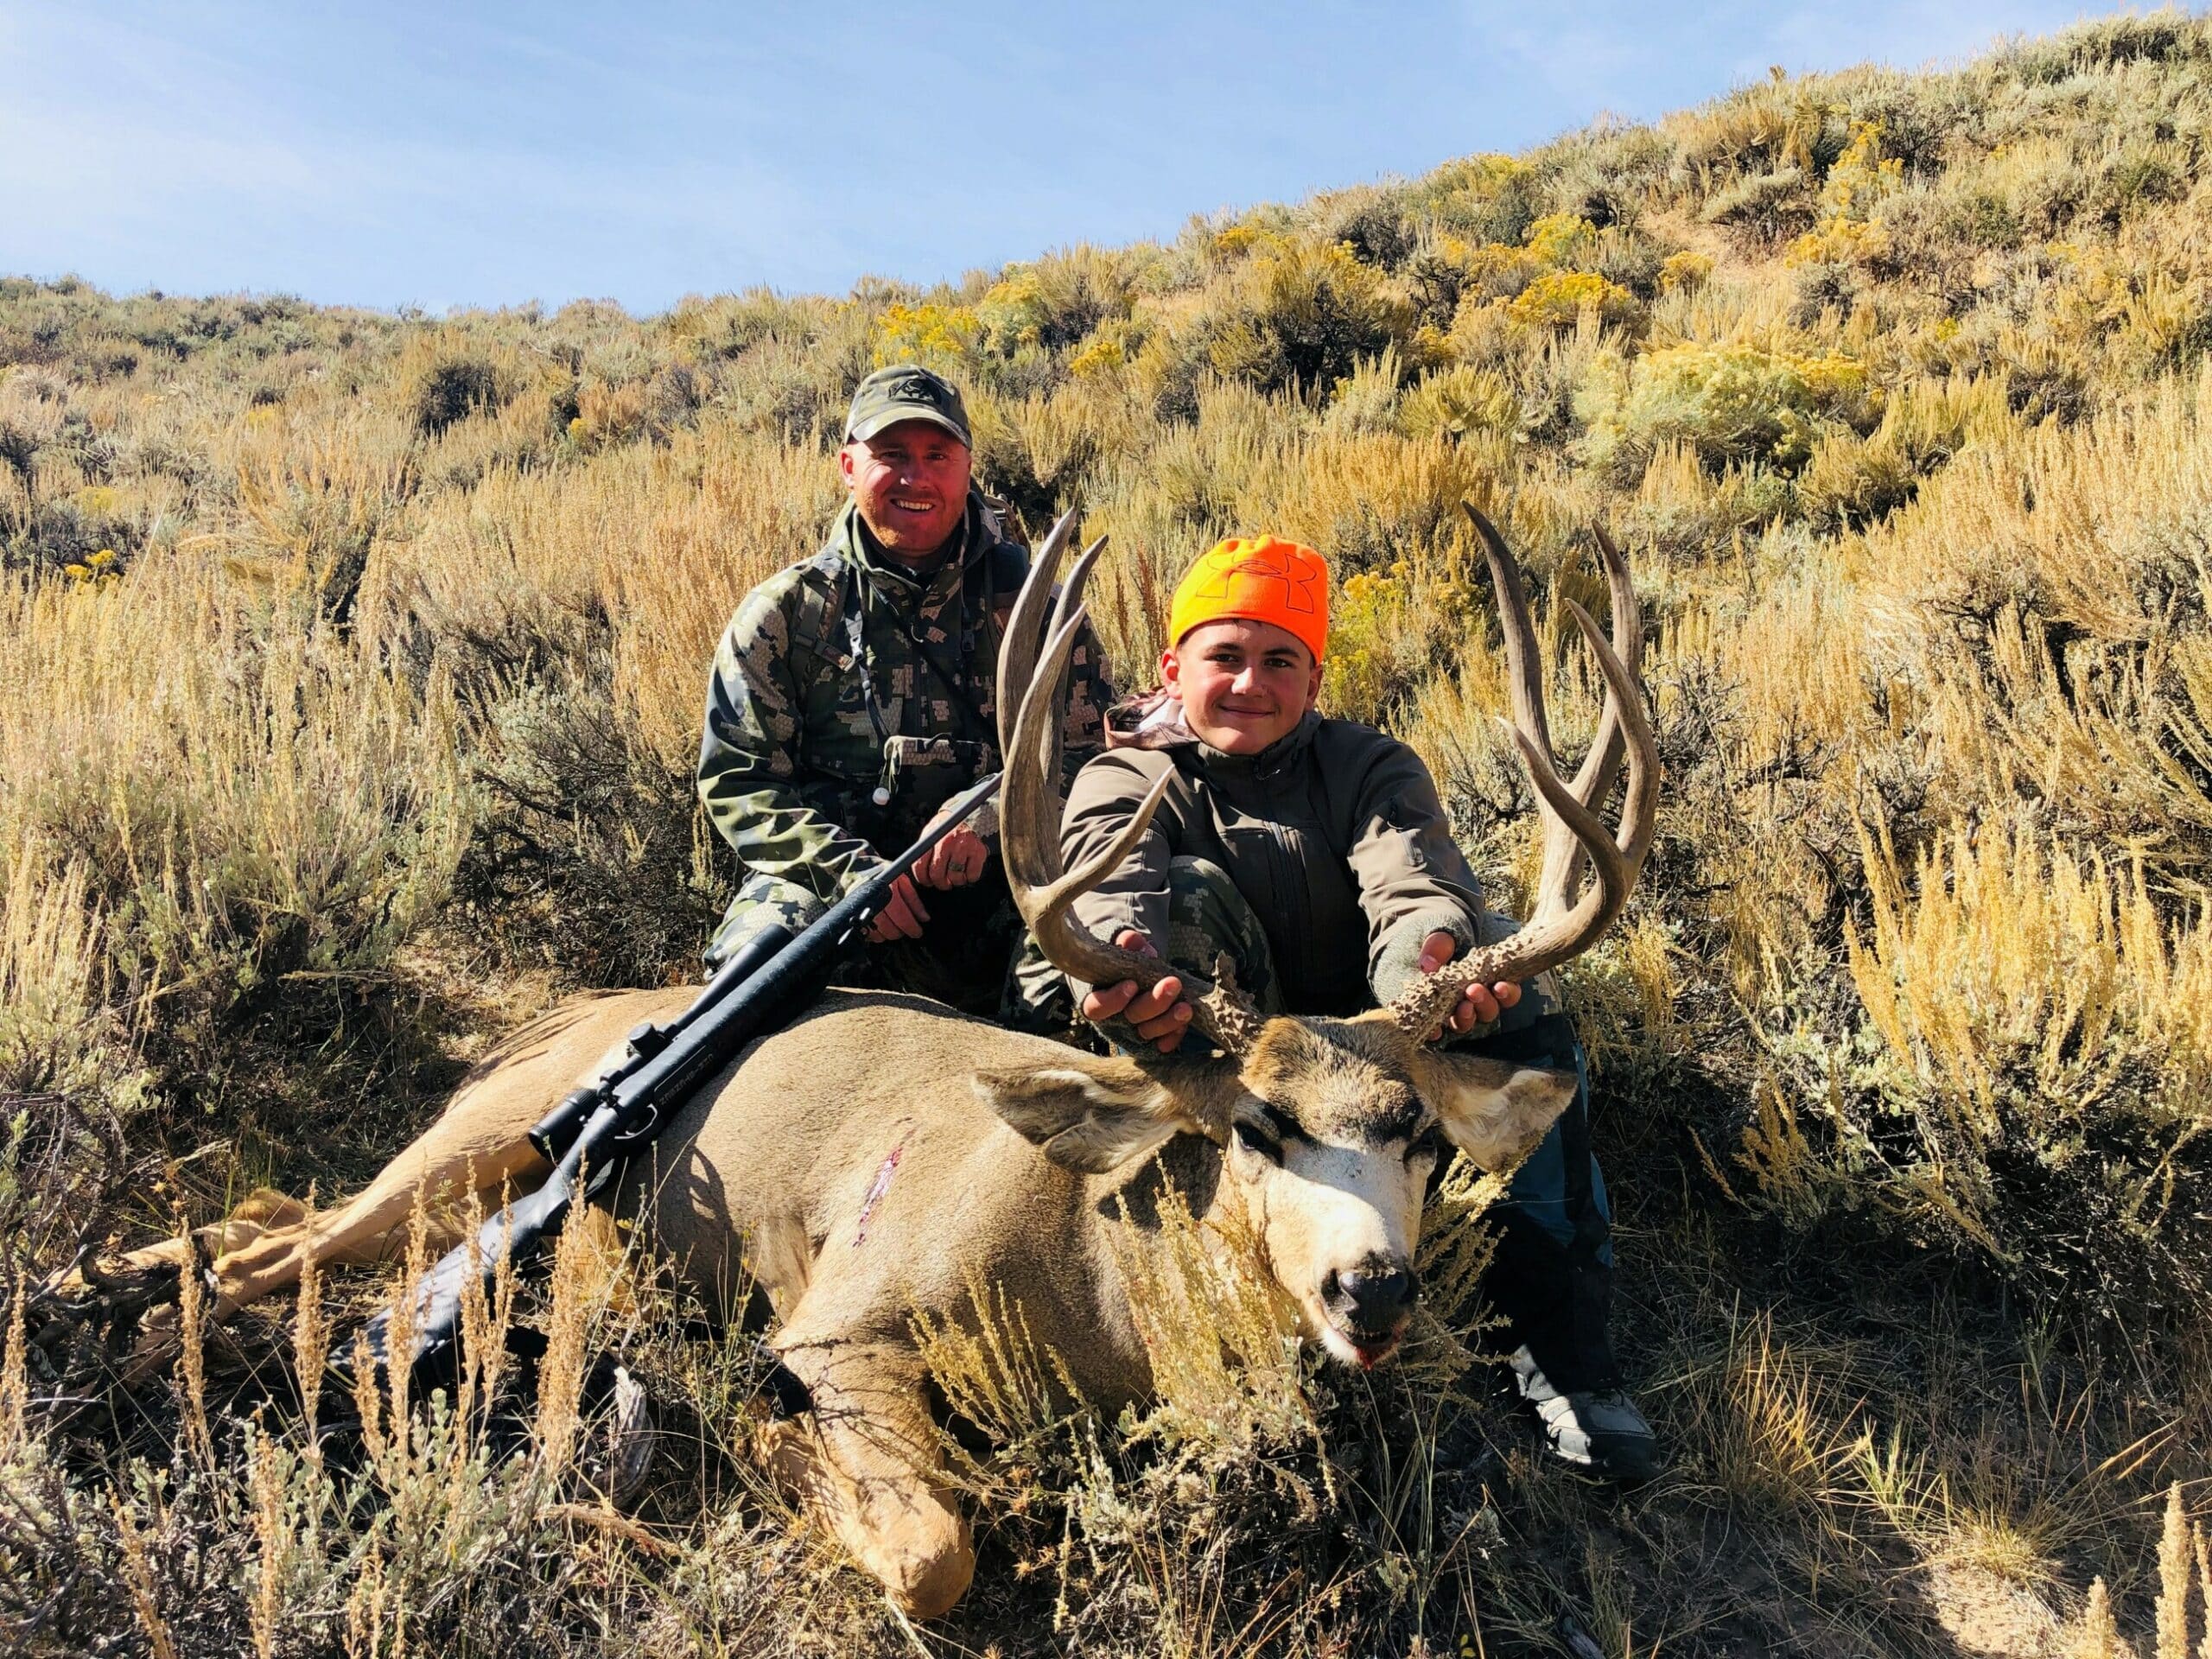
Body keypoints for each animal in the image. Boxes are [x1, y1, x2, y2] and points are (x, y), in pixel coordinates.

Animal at [50, 507, 1657, 1618]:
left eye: (1420, 1136)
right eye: (1255, 1128)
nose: (1370, 1291)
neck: (1094, 1276)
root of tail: (565, 1016)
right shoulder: (838, 1319)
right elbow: (937, 1545)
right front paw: (765, 1455)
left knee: (267, 1226)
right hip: (477, 1141)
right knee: (288, 1248)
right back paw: (114, 1314)